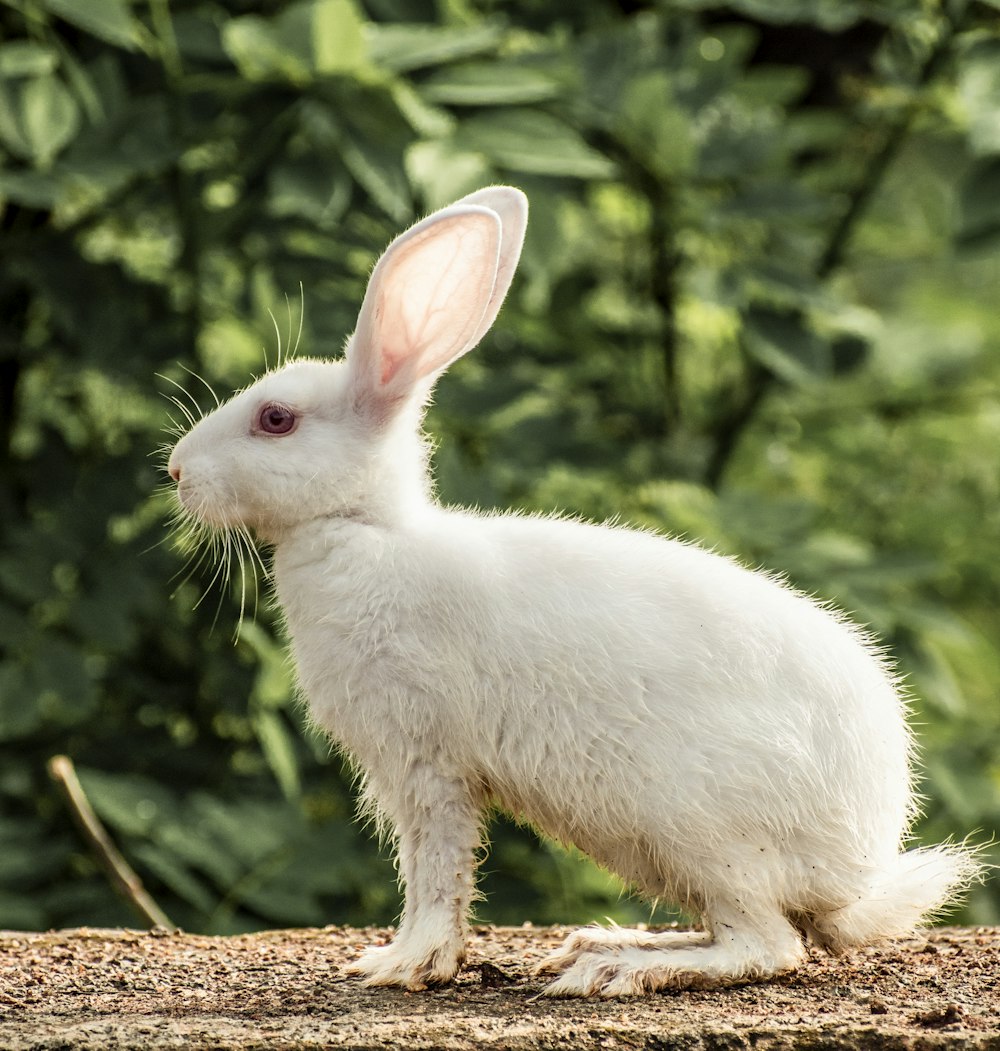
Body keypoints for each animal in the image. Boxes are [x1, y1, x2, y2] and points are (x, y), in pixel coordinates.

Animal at [170, 184, 975, 996]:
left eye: (276, 419)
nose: (175, 470)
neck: (367, 527)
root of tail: (854, 875)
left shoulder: (426, 764)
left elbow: (434, 871)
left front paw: (399, 965)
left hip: (700, 829)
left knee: (765, 945)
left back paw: (612, 967)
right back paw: (600, 941)